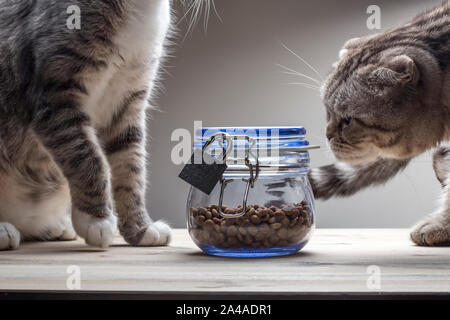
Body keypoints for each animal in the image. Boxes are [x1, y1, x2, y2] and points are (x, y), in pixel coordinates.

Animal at [0, 0, 181, 250]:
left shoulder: (128, 103)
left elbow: (131, 171)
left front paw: (140, 229)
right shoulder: (57, 97)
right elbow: (88, 159)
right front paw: (96, 220)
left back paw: (55, 227)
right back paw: (4, 230)